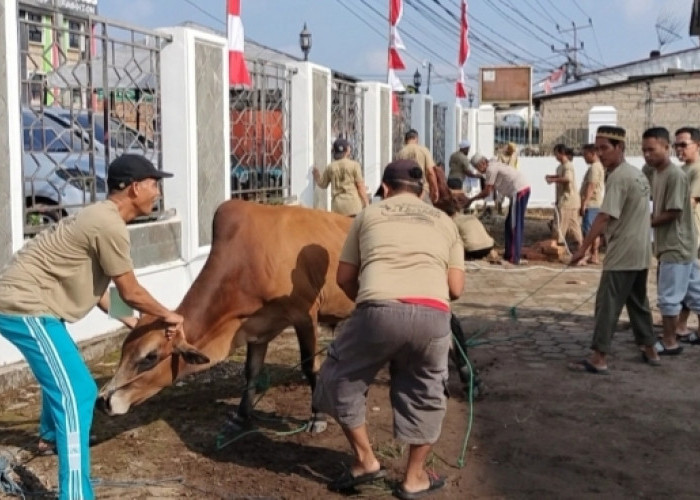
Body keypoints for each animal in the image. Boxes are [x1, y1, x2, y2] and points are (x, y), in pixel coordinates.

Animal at [95, 200, 352, 434]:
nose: (103, 401)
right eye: (124, 351)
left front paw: (318, 417)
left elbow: (310, 367)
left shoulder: (304, 315)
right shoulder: (257, 328)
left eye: (150, 357)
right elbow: (251, 371)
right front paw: (241, 416)